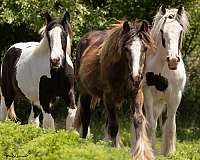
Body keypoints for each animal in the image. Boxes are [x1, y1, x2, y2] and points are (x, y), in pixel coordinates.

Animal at [74, 20, 154, 159]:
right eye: (126, 49)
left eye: (144, 48)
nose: (136, 77)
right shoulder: (109, 96)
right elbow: (114, 126)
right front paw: (115, 149)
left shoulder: (136, 93)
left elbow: (138, 120)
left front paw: (141, 153)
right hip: (85, 93)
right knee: (86, 117)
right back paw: (83, 142)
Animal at [144, 5, 189, 156]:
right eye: (163, 31)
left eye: (180, 30)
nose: (173, 60)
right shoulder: (148, 95)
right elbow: (151, 123)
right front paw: (151, 149)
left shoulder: (175, 96)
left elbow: (169, 125)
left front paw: (168, 151)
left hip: (161, 101)